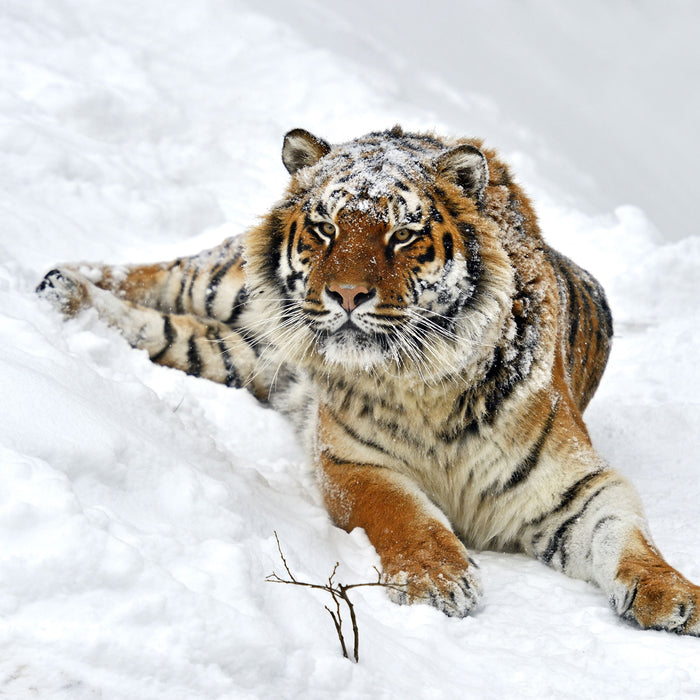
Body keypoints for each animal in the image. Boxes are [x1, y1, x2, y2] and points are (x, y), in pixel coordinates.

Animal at [38, 126, 700, 636]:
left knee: (165, 329)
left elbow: (628, 538)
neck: (427, 385)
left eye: (402, 234)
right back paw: (55, 280)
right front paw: (439, 581)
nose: (347, 294)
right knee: (156, 273)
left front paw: (675, 597)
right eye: (326, 228)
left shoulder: (578, 485)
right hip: (225, 284)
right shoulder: (352, 462)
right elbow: (404, 515)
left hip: (237, 353)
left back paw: (69, 297)